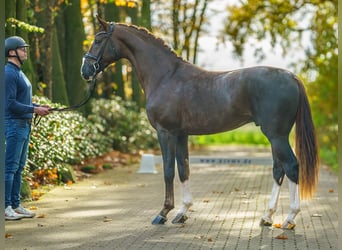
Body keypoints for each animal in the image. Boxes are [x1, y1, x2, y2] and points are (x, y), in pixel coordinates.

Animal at [80, 16, 318, 229]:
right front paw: (182, 213)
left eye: (98, 40)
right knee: (279, 169)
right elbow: (183, 169)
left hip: (276, 135)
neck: (165, 76)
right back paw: (267, 217)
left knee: (291, 166)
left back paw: (289, 219)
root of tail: (291, 77)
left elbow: (168, 170)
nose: (85, 70)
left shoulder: (165, 132)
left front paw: (163, 213)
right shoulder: (181, 134)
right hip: (276, 136)